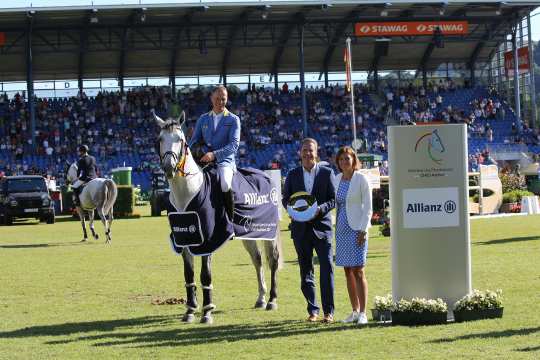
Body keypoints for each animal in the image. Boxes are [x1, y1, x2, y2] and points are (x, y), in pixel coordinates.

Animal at [154, 112, 282, 324]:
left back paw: (271, 300)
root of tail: (266, 176)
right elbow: (188, 274)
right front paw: (190, 310)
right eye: (160, 140)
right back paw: (261, 298)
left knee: (272, 260)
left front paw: (206, 312)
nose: (168, 168)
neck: (187, 194)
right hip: (249, 234)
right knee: (257, 260)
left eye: (181, 140)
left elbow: (205, 275)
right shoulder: (184, 240)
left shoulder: (208, 240)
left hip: (267, 233)